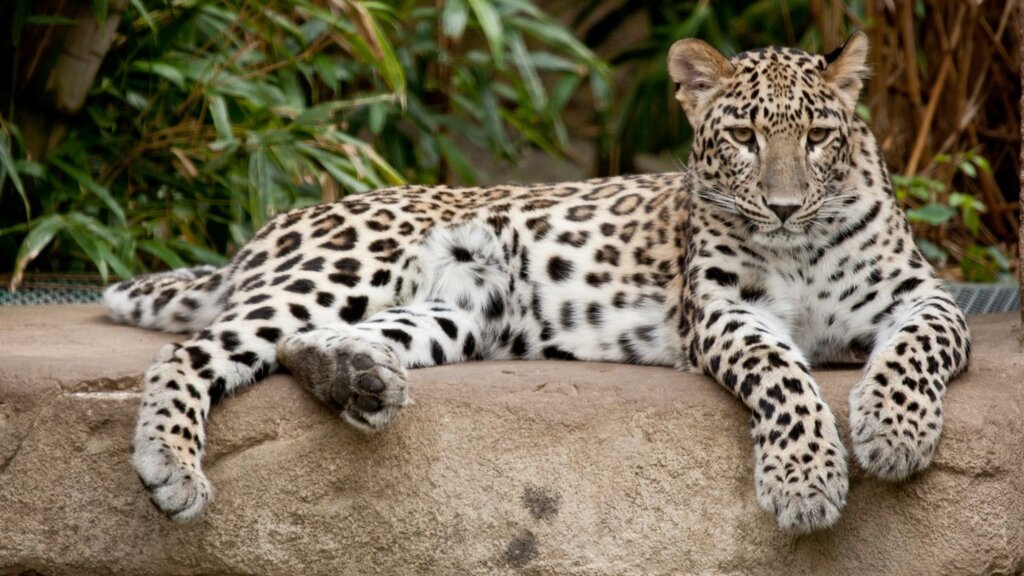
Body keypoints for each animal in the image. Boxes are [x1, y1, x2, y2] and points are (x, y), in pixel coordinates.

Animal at [108, 31, 970, 532]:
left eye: (819, 136)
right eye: (744, 138)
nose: (787, 207)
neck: (800, 248)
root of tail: (270, 227)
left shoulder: (925, 295)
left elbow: (915, 348)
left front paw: (894, 432)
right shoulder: (727, 314)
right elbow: (785, 378)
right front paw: (805, 480)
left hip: (463, 312)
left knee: (299, 344)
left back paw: (359, 380)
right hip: (352, 263)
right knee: (191, 351)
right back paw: (172, 466)